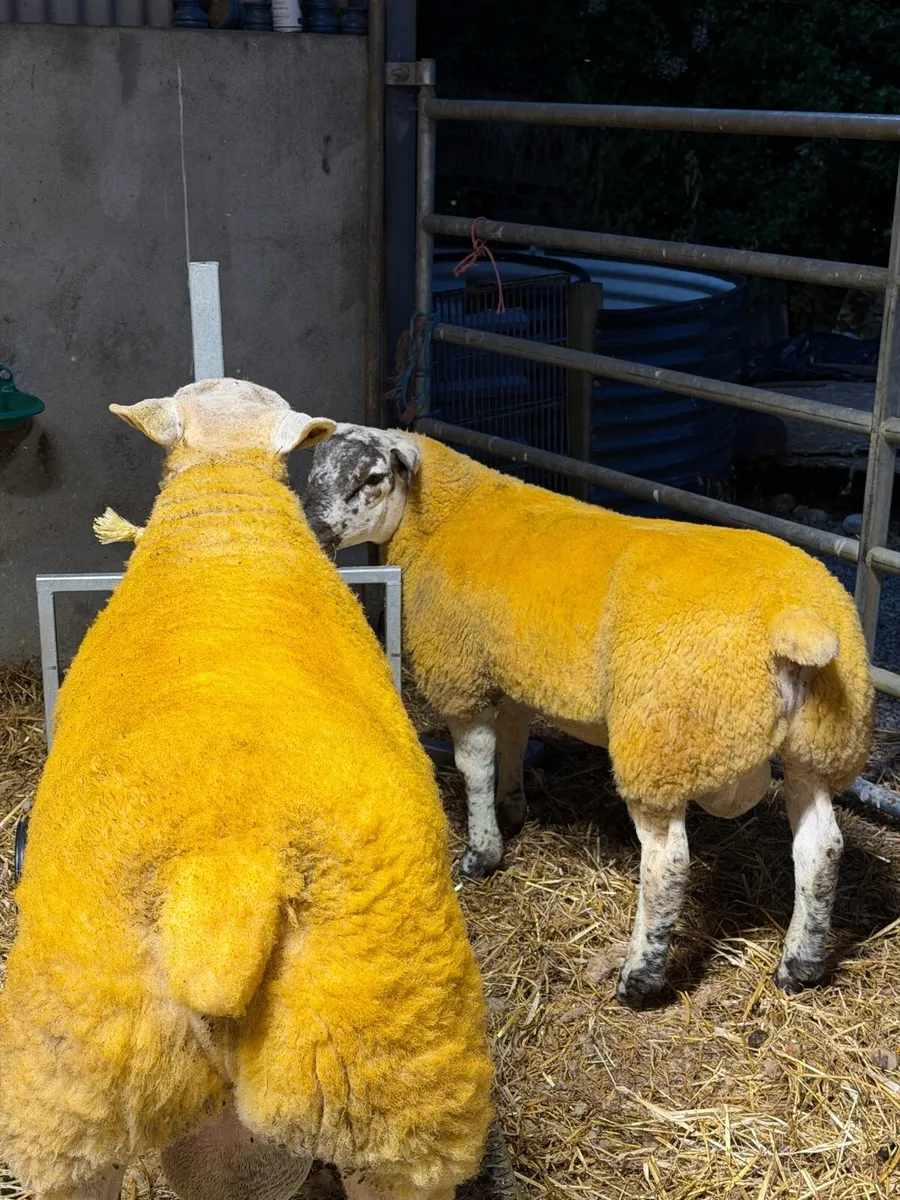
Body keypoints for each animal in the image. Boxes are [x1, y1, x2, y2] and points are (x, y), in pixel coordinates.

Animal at [301, 424, 874, 1010]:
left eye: (373, 477)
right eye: (312, 466)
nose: (312, 528)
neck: (446, 515)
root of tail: (794, 621)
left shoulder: (461, 675)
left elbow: (474, 766)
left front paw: (482, 852)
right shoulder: (514, 668)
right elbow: (513, 737)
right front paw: (512, 809)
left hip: (662, 740)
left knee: (668, 863)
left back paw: (639, 978)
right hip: (817, 744)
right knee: (821, 848)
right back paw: (800, 966)